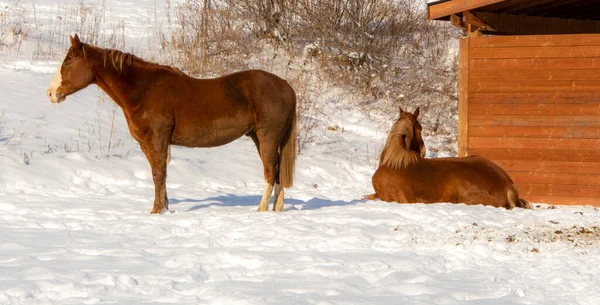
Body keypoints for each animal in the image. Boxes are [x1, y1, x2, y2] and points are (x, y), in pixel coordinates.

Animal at [47, 34, 296, 213]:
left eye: (68, 63)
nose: (51, 93)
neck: (142, 89)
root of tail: (286, 87)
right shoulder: (146, 144)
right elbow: (159, 175)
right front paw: (165, 209)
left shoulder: (157, 139)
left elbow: (159, 174)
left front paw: (156, 211)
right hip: (259, 137)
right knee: (276, 172)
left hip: (267, 137)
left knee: (270, 172)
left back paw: (261, 209)